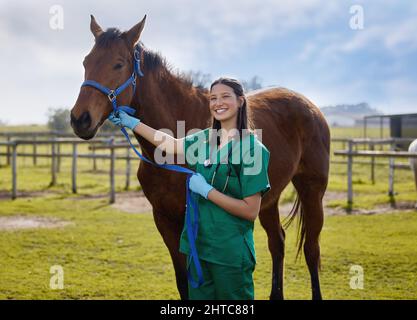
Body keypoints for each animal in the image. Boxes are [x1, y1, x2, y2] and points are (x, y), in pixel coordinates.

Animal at [70, 15, 328, 300]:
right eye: (86, 62)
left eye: (118, 64)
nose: (80, 119)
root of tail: (309, 106)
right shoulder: (164, 219)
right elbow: (184, 282)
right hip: (268, 200)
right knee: (277, 242)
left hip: (312, 191)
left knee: (311, 249)